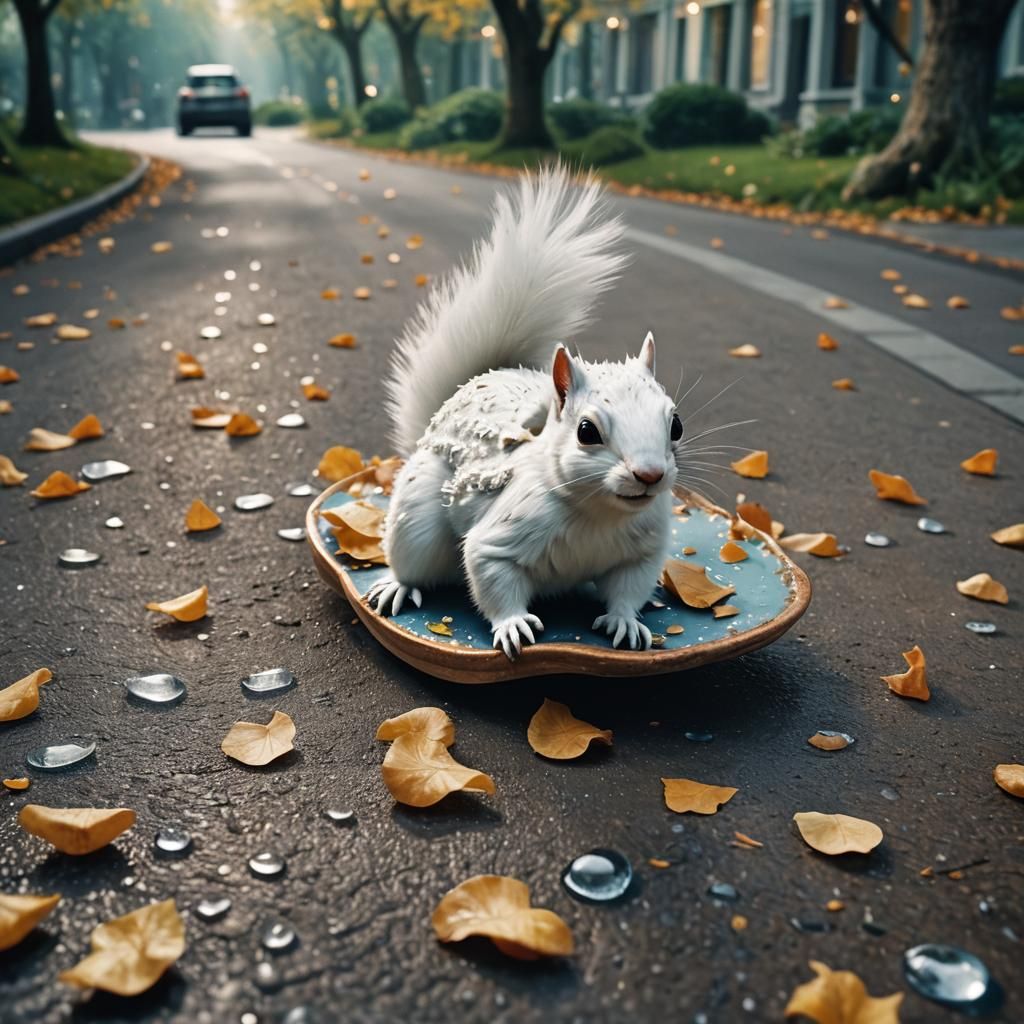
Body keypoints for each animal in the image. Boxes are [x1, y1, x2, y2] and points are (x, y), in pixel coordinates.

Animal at [367, 166, 684, 659]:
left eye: (676, 425)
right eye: (586, 431)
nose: (650, 475)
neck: (599, 514)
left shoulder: (642, 550)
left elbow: (629, 587)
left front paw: (626, 621)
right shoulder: (501, 536)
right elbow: (491, 574)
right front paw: (513, 625)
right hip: (416, 520)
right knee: (412, 559)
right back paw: (398, 586)